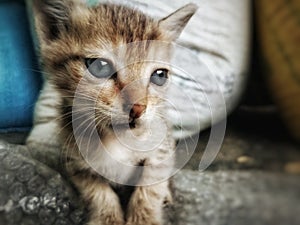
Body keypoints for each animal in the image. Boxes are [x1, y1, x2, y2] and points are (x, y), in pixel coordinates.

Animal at [31, 0, 198, 224]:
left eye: (159, 75)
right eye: (100, 66)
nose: (138, 108)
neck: (115, 139)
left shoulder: (161, 152)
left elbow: (149, 190)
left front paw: (144, 217)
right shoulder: (76, 163)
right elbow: (99, 193)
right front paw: (107, 217)